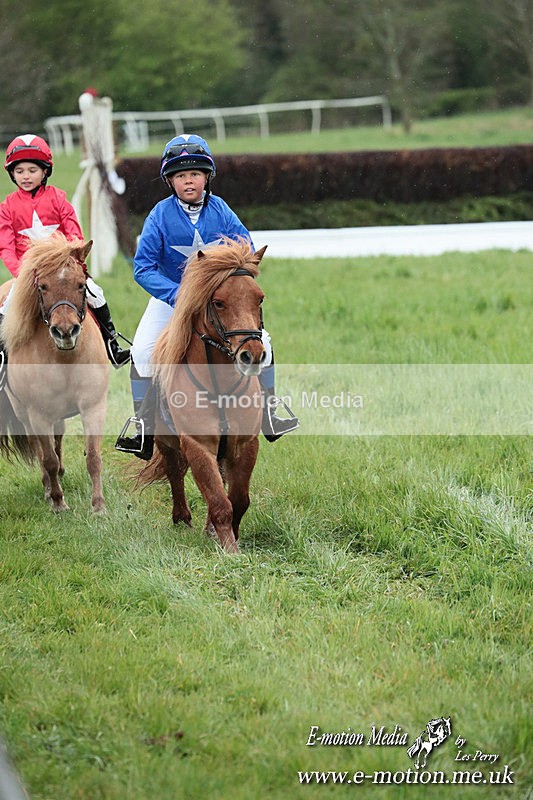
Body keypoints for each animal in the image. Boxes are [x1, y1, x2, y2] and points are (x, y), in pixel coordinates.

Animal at [0, 235, 110, 512]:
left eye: (81, 285)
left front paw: (98, 506)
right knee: (39, 448)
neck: (64, 358)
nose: (66, 331)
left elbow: (93, 456)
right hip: (24, 413)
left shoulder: (94, 406)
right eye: (43, 287)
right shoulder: (38, 415)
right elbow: (46, 457)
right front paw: (58, 501)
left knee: (58, 436)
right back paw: (50, 488)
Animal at [136, 237, 268, 553]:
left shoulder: (244, 444)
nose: (252, 355)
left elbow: (238, 500)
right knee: (174, 472)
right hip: (167, 441)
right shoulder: (198, 446)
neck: (220, 387)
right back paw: (182, 518)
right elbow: (220, 502)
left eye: (259, 299)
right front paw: (230, 551)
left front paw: (227, 537)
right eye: (218, 302)